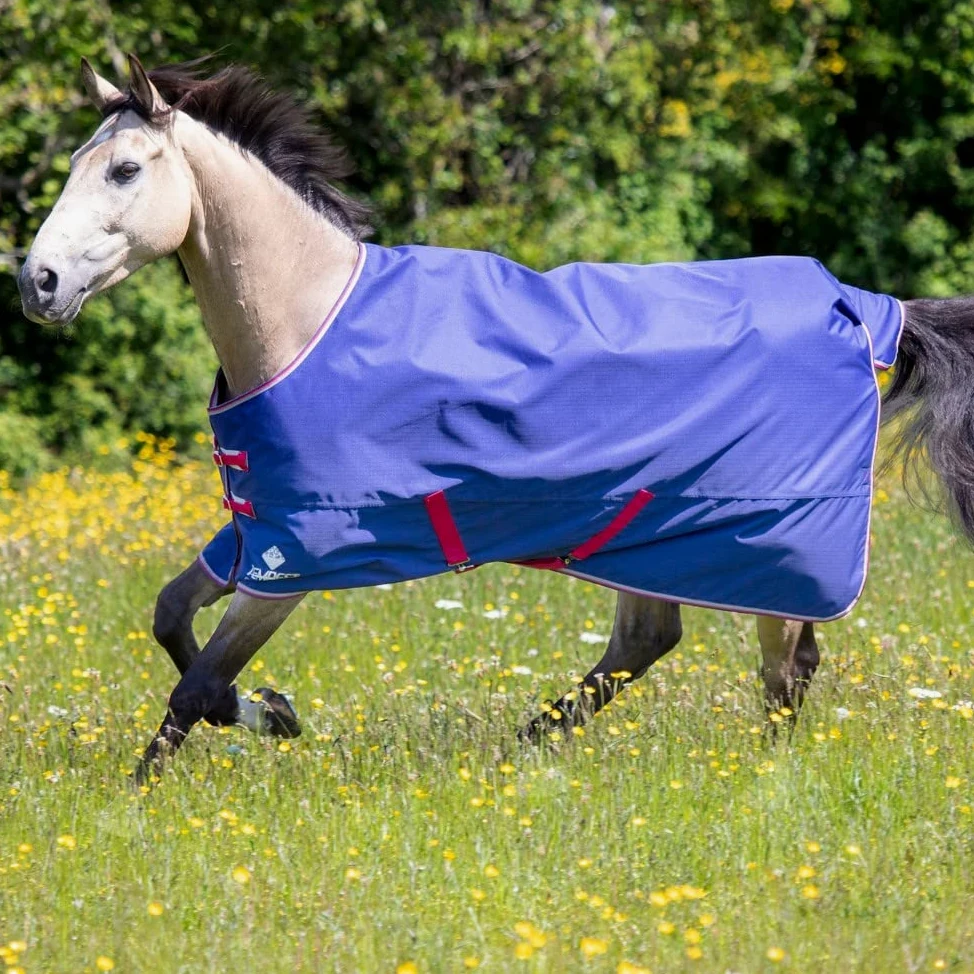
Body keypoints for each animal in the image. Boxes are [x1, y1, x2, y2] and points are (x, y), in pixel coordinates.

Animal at [17, 56, 974, 784]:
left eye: (125, 170)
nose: (38, 283)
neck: (305, 320)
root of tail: (860, 306)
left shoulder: (300, 556)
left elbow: (196, 684)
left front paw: (145, 792)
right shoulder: (256, 532)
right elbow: (171, 621)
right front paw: (275, 712)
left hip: (762, 546)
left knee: (783, 669)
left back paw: (747, 773)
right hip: (652, 534)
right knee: (650, 641)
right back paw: (523, 747)